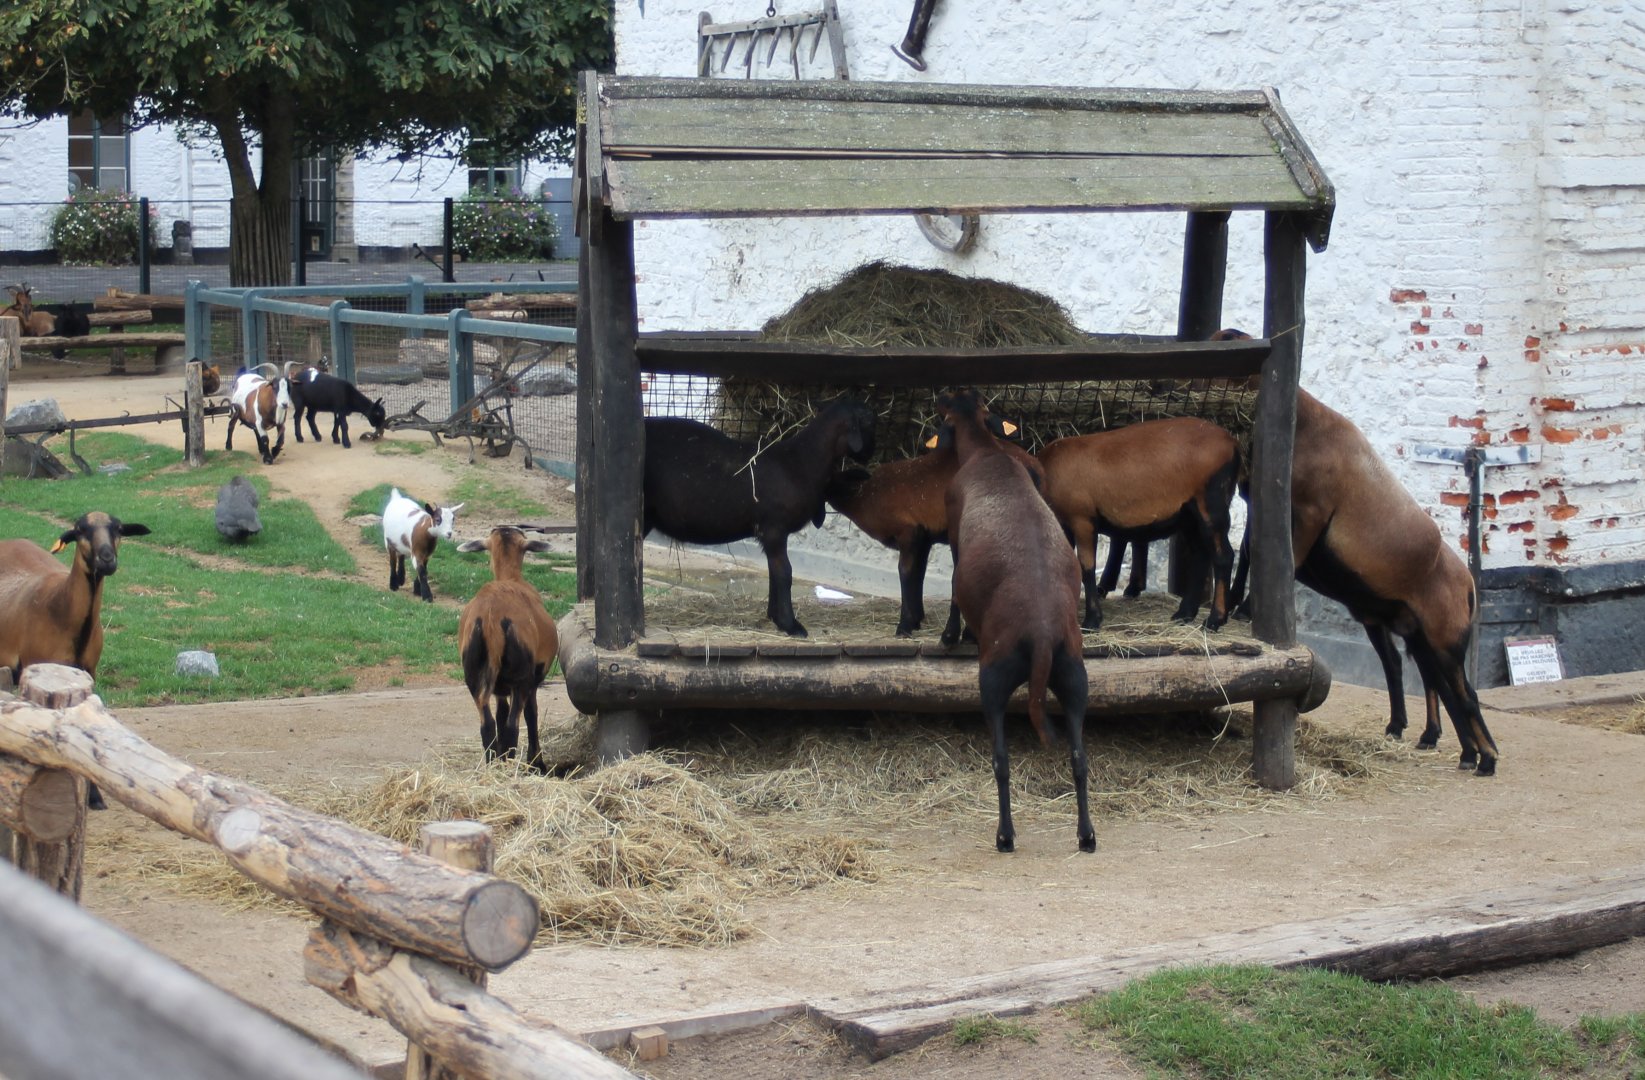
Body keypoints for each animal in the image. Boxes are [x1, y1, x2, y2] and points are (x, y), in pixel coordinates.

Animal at [455, 526, 559, 770]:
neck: (509, 577)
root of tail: (491, 617)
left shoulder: (499, 689)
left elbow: (500, 714)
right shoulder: (532, 680)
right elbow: (531, 714)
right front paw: (536, 763)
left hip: (475, 675)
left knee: (488, 725)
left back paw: (493, 766)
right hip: (520, 676)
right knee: (514, 726)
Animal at [643, 399, 876, 637]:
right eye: (869, 421)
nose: (870, 454)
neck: (801, 461)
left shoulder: (773, 533)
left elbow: (774, 571)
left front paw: (775, 617)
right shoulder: (774, 527)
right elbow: (784, 572)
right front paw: (790, 624)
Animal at [826, 412, 1041, 637]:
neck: (863, 495)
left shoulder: (908, 531)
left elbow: (905, 571)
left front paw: (905, 625)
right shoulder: (924, 537)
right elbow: (919, 573)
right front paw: (916, 618)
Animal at [938, 390, 1093, 854]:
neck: (987, 449)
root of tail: (1041, 636)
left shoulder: (953, 526)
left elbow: (953, 584)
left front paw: (951, 634)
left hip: (992, 678)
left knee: (1001, 760)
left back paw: (1005, 835)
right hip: (1074, 675)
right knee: (1080, 759)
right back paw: (1086, 835)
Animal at [1036, 417, 1240, 632]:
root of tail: (1232, 442)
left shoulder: (1082, 520)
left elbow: (1086, 568)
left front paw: (1091, 621)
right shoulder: (1062, 524)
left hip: (1212, 503)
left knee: (1224, 557)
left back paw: (1214, 620)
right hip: (1189, 516)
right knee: (1200, 556)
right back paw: (1184, 614)